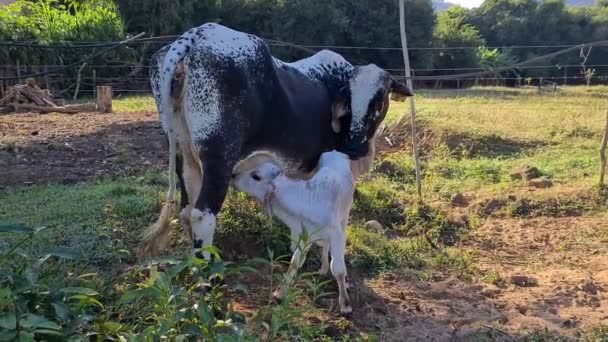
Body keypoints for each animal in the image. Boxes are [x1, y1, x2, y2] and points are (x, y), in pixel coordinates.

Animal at [233, 150, 356, 316]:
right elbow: (295, 263)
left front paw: (345, 304)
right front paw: (280, 293)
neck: (309, 201)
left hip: (345, 215)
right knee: (325, 245)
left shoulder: (337, 235)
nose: (233, 175)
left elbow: (338, 269)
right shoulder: (305, 237)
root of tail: (335, 152)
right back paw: (323, 268)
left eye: (256, 176)